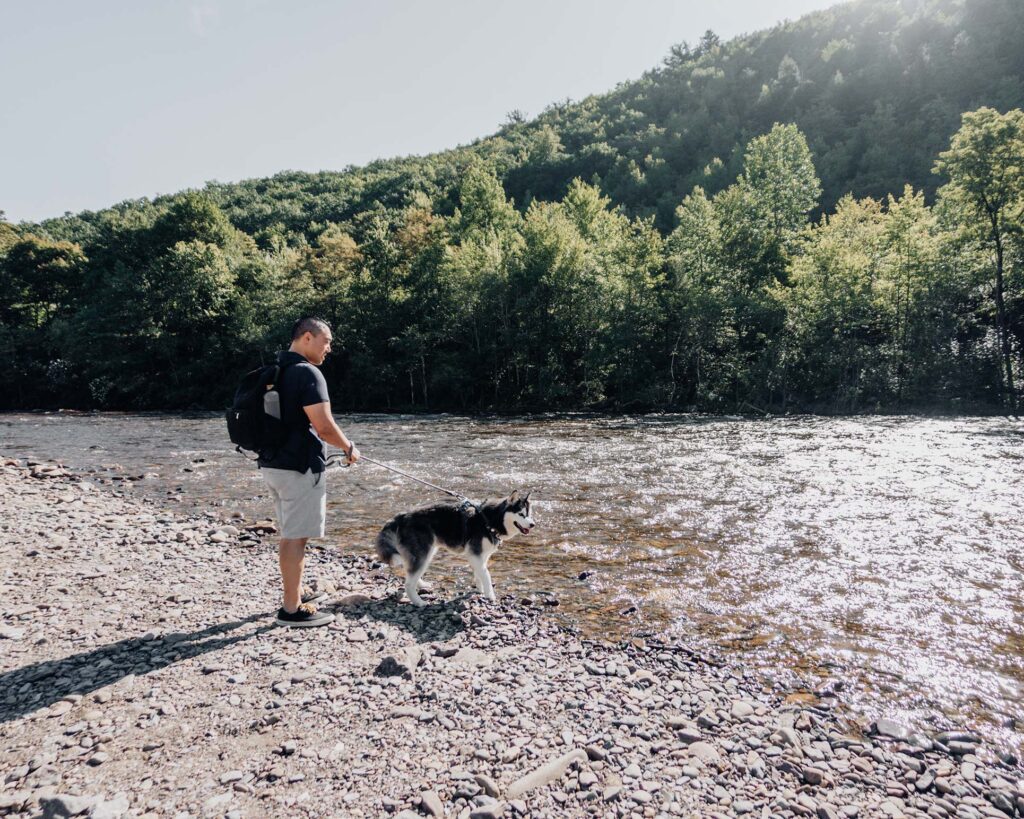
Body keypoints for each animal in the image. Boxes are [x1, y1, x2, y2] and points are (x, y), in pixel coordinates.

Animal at [374, 489, 536, 606]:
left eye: (530, 514)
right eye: (521, 514)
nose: (533, 524)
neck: (489, 519)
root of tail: (402, 515)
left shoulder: (480, 556)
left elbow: (479, 573)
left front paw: (480, 589)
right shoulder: (475, 554)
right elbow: (487, 575)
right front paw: (490, 595)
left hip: (426, 552)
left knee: (410, 571)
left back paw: (422, 584)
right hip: (423, 553)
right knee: (408, 583)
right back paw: (419, 602)